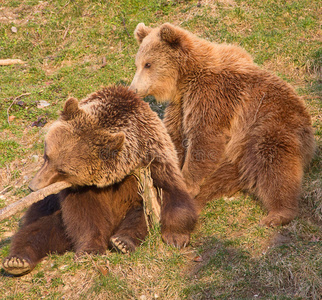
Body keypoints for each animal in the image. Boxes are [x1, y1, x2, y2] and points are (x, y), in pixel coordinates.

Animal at [2, 85, 197, 276]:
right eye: (47, 156)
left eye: (62, 170)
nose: (33, 187)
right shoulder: (83, 189)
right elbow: (85, 216)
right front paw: (90, 250)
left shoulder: (154, 164)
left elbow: (172, 198)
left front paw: (176, 236)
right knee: (39, 228)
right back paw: (17, 260)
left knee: (141, 215)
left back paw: (122, 241)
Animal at [130, 22, 314, 227]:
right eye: (138, 64)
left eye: (148, 64)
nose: (133, 89)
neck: (184, 79)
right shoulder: (181, 105)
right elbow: (174, 136)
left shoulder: (212, 96)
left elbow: (205, 137)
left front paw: (188, 183)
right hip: (235, 157)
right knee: (222, 178)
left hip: (270, 127)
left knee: (275, 165)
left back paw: (278, 214)